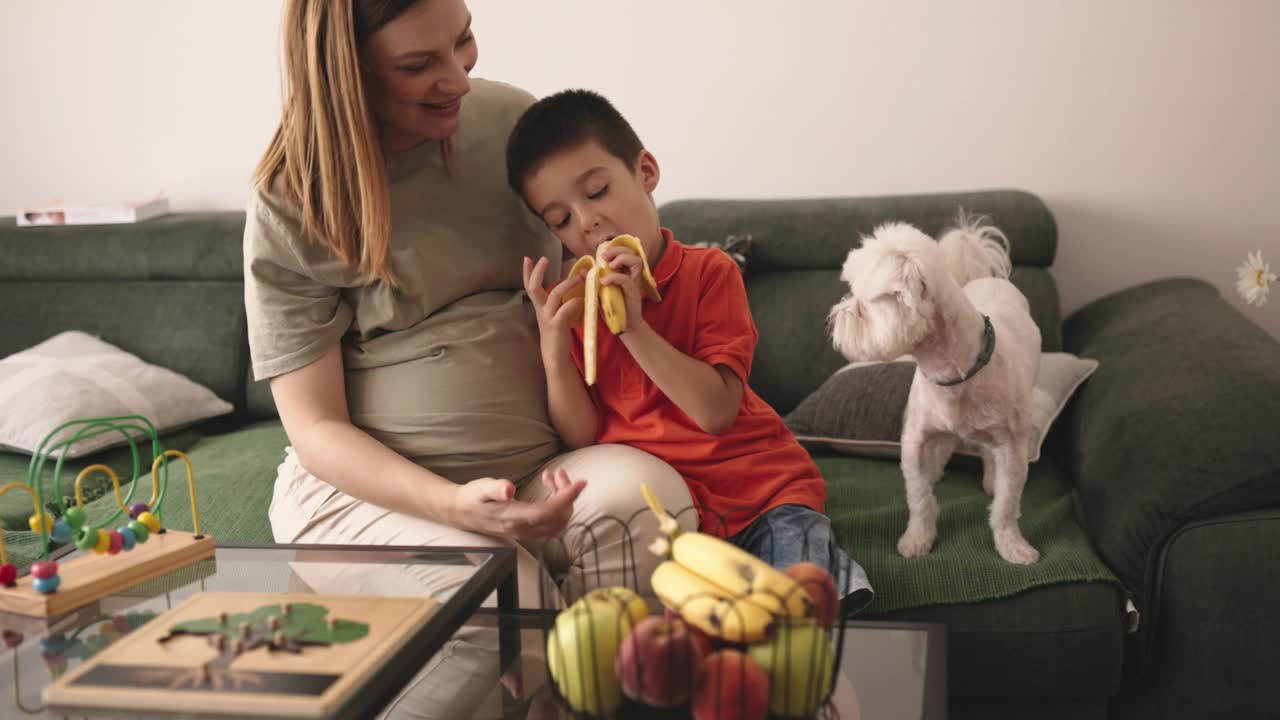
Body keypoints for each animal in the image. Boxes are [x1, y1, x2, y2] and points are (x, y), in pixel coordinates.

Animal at [824, 215, 1044, 563]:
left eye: (864, 305)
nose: (835, 317)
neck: (954, 376)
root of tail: (986, 279)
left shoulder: (1012, 448)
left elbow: (1007, 504)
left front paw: (1012, 545)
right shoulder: (915, 440)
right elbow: (919, 497)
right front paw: (918, 538)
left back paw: (989, 479)